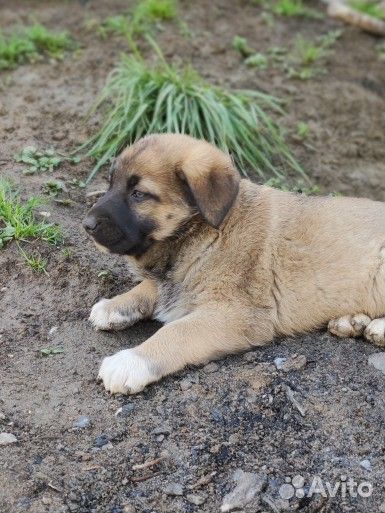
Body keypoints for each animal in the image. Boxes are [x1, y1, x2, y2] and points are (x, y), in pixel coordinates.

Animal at [83, 132, 384, 392]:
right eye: (110, 184)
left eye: (139, 194)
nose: (86, 225)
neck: (209, 233)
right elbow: (150, 287)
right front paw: (115, 305)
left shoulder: (234, 313)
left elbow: (176, 332)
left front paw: (129, 361)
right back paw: (351, 322)